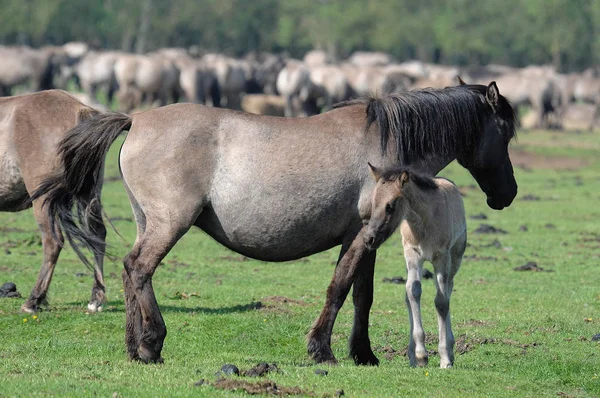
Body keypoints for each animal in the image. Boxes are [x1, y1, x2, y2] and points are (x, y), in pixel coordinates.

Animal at [0, 90, 106, 314]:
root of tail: (80, 110)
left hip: (43, 200)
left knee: (52, 241)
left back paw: (33, 301)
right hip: (89, 195)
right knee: (97, 235)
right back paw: (96, 299)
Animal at [364, 163, 466, 368]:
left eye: (390, 205)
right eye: (372, 203)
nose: (369, 239)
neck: (423, 222)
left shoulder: (441, 257)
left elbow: (441, 302)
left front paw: (445, 357)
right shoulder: (412, 254)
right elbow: (413, 291)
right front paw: (420, 355)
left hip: (456, 257)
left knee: (448, 289)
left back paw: (450, 348)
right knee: (409, 293)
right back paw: (412, 355)